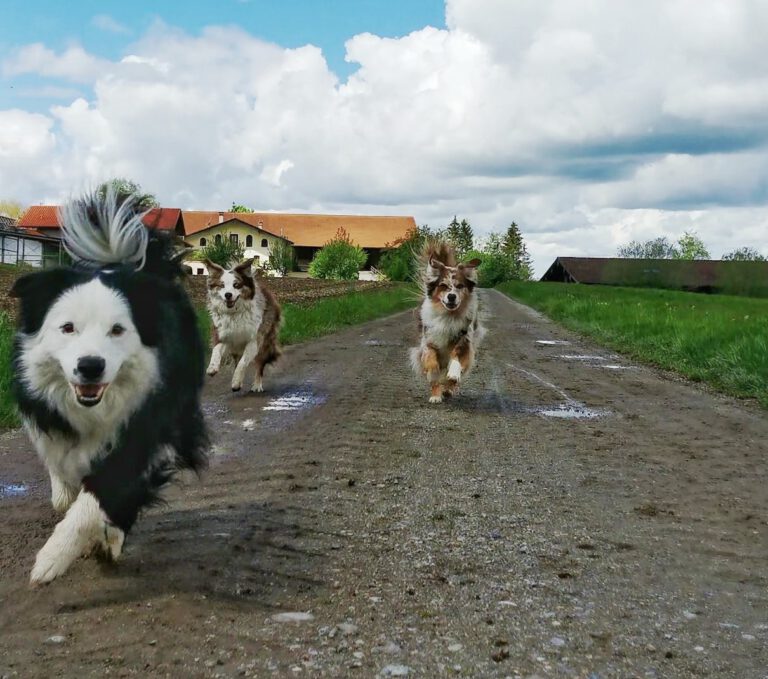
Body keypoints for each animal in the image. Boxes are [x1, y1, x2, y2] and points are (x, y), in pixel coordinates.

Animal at [12, 189, 210, 588]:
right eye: (67, 328)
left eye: (118, 330)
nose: (90, 366)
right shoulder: (47, 416)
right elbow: (64, 485)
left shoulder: (154, 418)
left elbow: (104, 488)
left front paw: (51, 559)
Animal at [204, 260, 282, 394]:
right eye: (221, 285)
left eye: (236, 285)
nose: (228, 295)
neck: (234, 313)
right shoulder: (224, 335)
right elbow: (216, 351)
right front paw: (212, 367)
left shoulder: (255, 339)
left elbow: (243, 363)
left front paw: (236, 382)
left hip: (265, 342)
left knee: (259, 364)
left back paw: (256, 385)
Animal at [412, 240, 484, 404]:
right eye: (443, 286)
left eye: (460, 286)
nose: (451, 296)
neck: (448, 316)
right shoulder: (429, 339)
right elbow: (431, 357)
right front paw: (434, 370)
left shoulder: (464, 339)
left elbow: (456, 356)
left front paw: (453, 373)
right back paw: (436, 395)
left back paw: (449, 387)